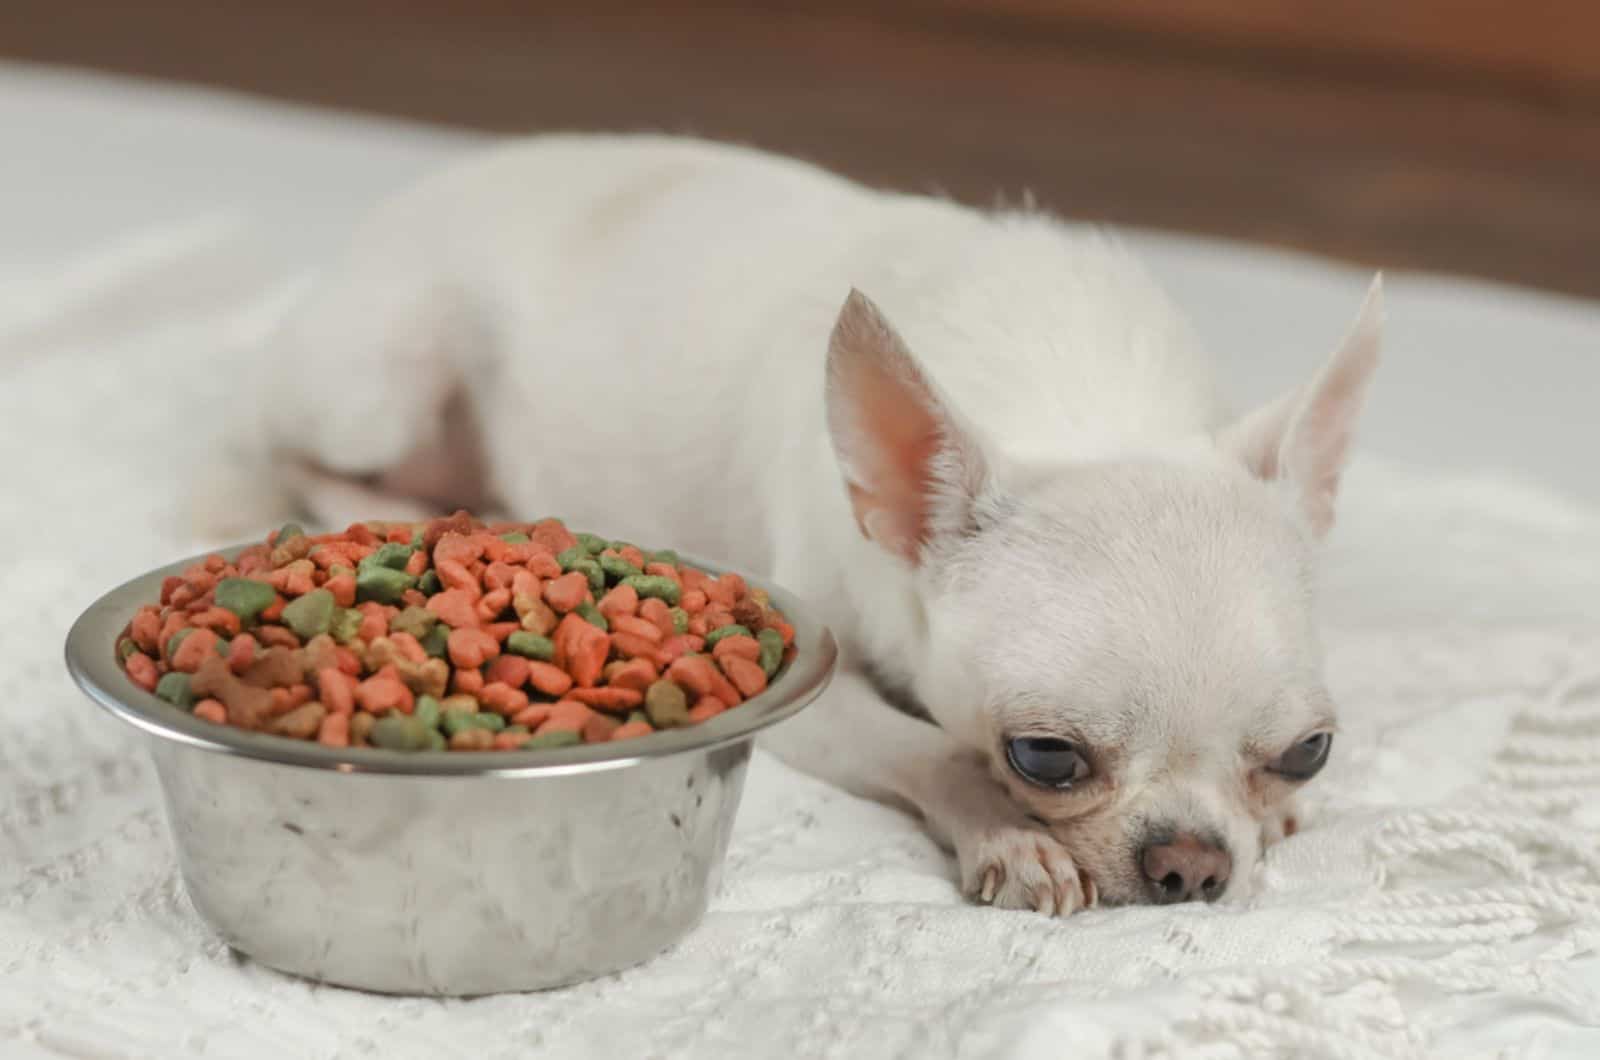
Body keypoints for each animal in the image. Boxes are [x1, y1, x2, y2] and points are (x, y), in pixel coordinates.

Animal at [206, 130, 1382, 915]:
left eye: (1309, 752)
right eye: (1044, 757)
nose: (1193, 864)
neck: (1081, 404)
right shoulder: (807, 688)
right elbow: (931, 751)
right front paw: (1009, 838)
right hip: (378, 382)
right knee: (293, 452)